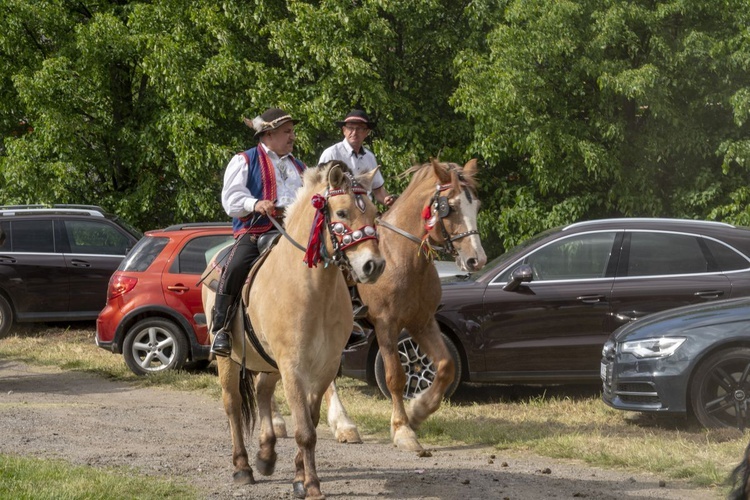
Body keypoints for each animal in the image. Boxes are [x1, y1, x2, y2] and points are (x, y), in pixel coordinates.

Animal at [203, 162, 384, 498]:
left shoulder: (324, 368)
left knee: (262, 391)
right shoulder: (293, 366)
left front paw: (300, 475)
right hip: (228, 359)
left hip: (268, 362)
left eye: (374, 213)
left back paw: (265, 455)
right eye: (342, 212)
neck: (312, 290)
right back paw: (243, 467)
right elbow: (305, 430)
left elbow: (310, 421)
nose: (373, 266)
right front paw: (311, 484)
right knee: (233, 405)